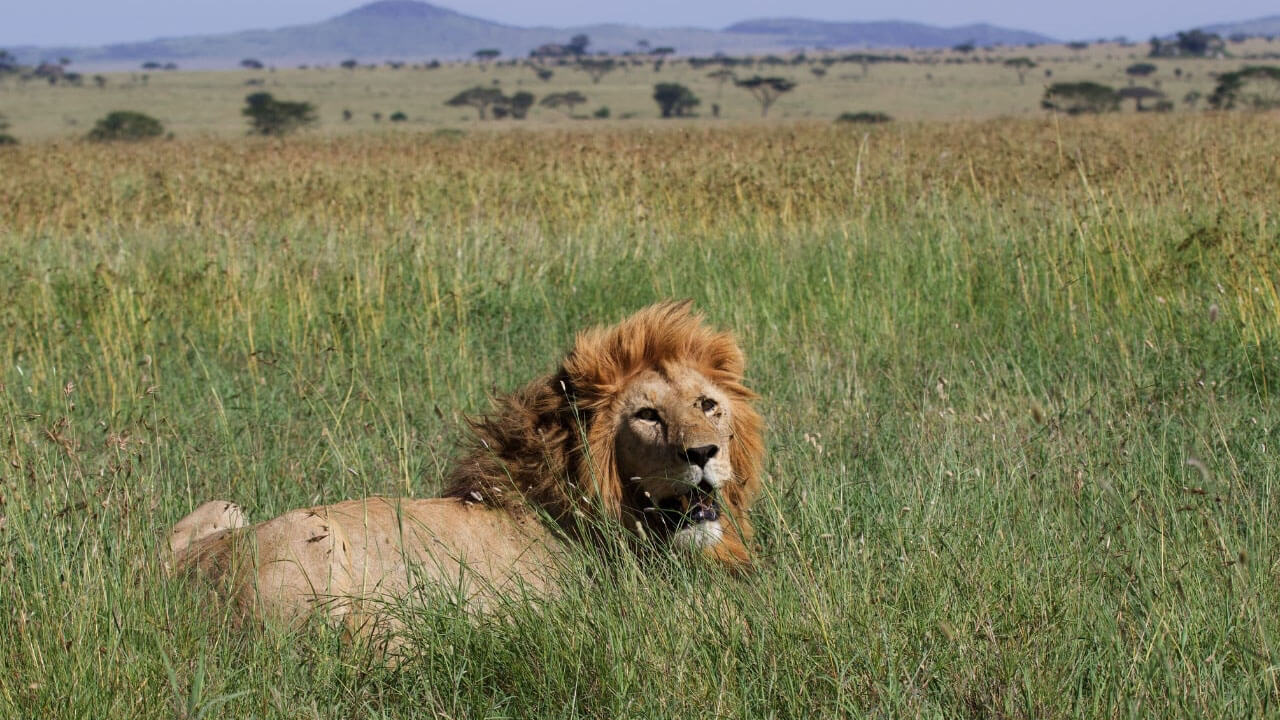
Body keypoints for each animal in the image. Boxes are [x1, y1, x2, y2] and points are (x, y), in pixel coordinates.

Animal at [160, 299, 757, 630]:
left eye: (708, 405)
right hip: (316, 536)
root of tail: (171, 586)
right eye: (648, 415)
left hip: (224, 508)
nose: (703, 453)